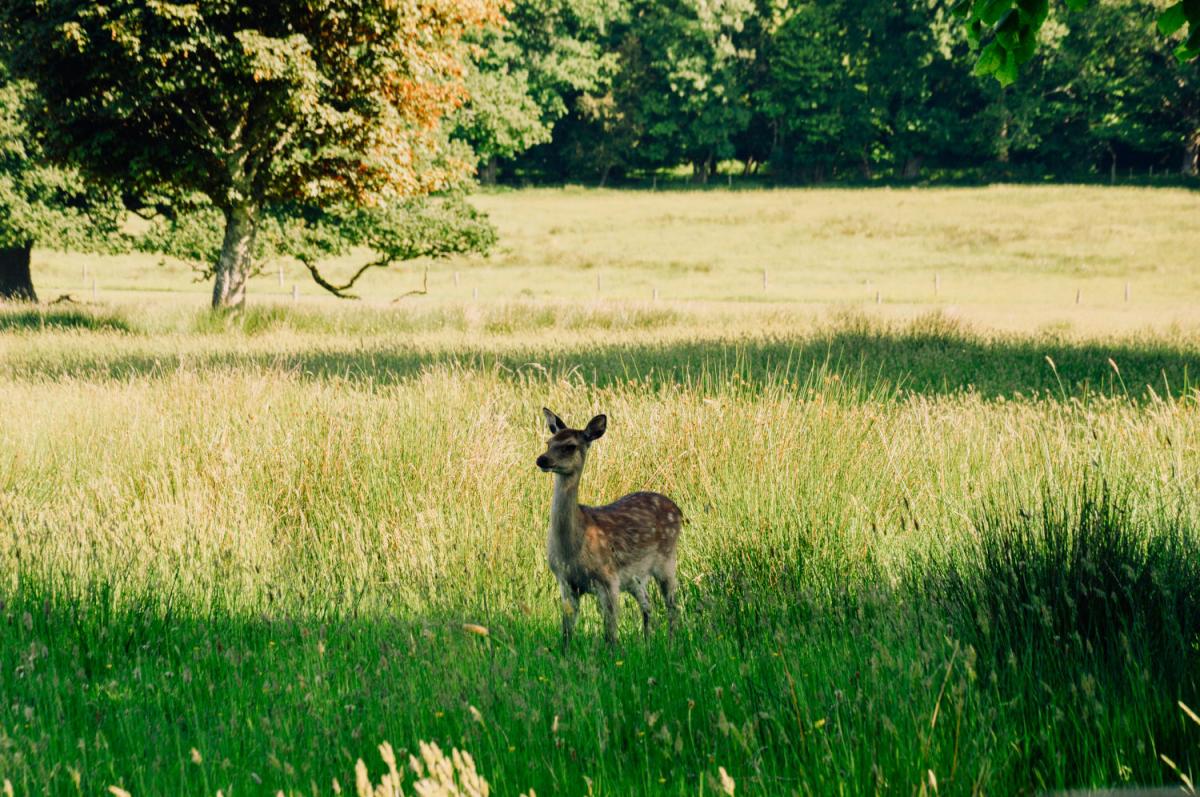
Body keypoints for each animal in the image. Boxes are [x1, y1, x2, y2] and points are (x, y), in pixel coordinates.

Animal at [535, 407, 682, 650]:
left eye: (570, 446)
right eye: (548, 442)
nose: (542, 459)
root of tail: (678, 510)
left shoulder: (608, 578)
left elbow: (610, 635)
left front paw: (613, 656)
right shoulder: (565, 581)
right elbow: (566, 633)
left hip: (667, 560)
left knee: (673, 606)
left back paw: (672, 645)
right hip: (635, 578)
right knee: (647, 603)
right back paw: (647, 643)